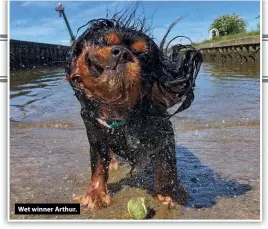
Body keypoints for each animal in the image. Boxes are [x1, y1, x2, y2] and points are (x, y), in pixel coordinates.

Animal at [65, 13, 202, 209]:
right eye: (103, 42)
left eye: (142, 55)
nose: (122, 53)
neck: (117, 107)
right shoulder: (94, 132)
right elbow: (98, 163)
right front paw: (96, 193)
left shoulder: (163, 130)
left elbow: (167, 163)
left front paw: (169, 191)